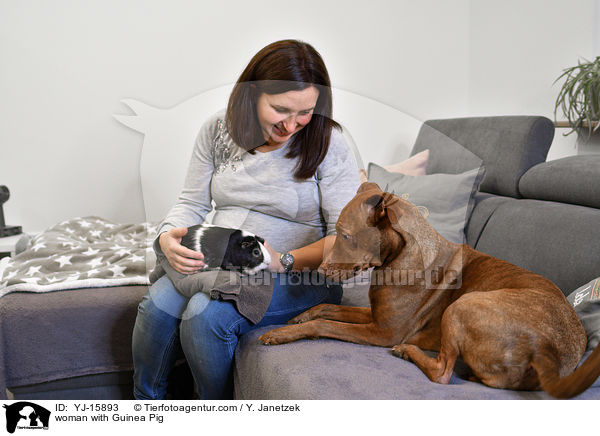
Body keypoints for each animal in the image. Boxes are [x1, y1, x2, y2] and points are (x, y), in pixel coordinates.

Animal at [260, 182, 600, 396]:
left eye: (344, 235)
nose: (317, 271)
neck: (399, 257)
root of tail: (550, 356)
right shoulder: (375, 316)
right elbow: (327, 308)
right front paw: (299, 316)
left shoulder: (383, 332)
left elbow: (326, 323)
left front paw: (282, 333)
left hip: (462, 306)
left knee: (443, 372)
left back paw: (408, 352)